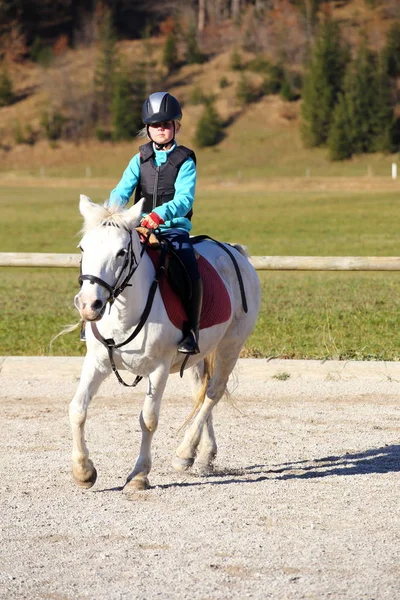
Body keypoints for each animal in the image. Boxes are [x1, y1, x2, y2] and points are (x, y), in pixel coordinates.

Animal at [70, 195, 260, 490]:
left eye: (121, 252)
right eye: (83, 247)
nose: (89, 304)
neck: (125, 312)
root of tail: (235, 252)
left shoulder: (158, 369)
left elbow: (148, 420)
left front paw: (139, 475)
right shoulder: (97, 362)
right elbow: (78, 409)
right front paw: (83, 471)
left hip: (232, 345)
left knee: (213, 393)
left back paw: (184, 453)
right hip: (197, 355)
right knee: (200, 392)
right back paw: (202, 454)